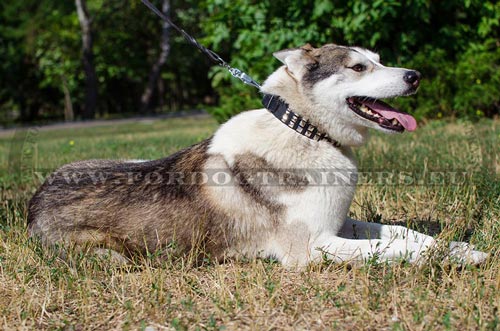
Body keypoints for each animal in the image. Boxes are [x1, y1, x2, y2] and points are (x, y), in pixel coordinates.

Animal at [28, 43, 488, 268]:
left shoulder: (337, 222)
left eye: (379, 61)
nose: (415, 76)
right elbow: (395, 250)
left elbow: (403, 233)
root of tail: (33, 202)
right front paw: (456, 257)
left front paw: (457, 247)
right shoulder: (311, 248)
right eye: (359, 68)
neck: (306, 131)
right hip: (110, 257)